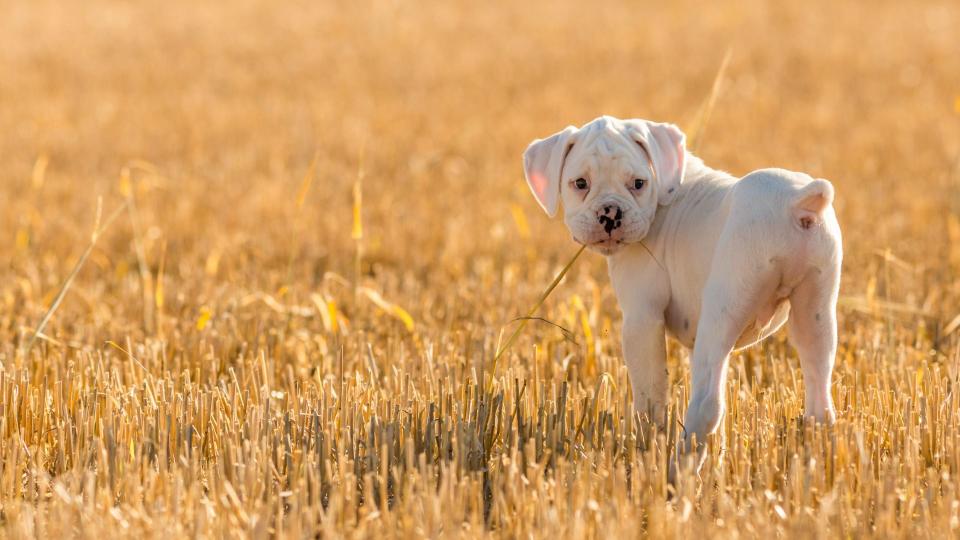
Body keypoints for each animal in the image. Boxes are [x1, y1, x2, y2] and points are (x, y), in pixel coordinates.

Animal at [520, 115, 844, 472]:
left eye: (638, 183)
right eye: (580, 183)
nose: (610, 213)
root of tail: (799, 199)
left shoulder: (641, 319)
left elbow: (651, 398)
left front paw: (645, 451)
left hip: (723, 311)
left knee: (707, 405)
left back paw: (677, 472)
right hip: (815, 314)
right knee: (819, 401)